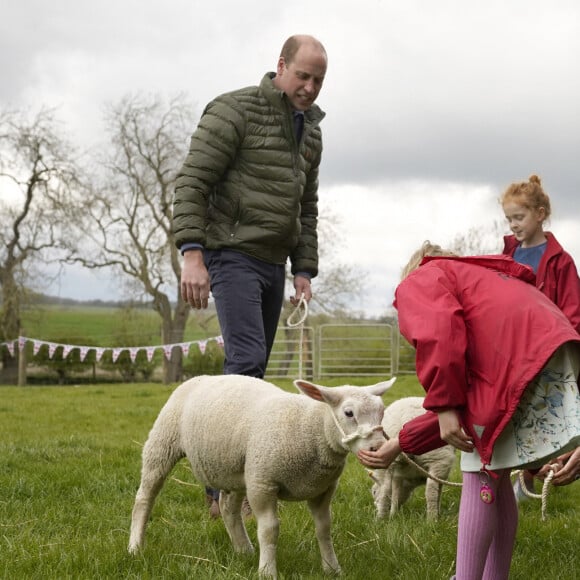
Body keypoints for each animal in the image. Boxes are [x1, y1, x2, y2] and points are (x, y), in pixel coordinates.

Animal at [129, 374, 396, 576]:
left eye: (382, 412)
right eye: (349, 413)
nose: (378, 448)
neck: (310, 428)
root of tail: (203, 377)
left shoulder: (323, 489)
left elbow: (324, 528)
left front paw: (332, 568)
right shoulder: (263, 483)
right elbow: (269, 529)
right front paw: (267, 571)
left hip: (236, 468)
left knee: (228, 507)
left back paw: (244, 550)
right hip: (163, 443)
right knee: (145, 497)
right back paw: (135, 547)